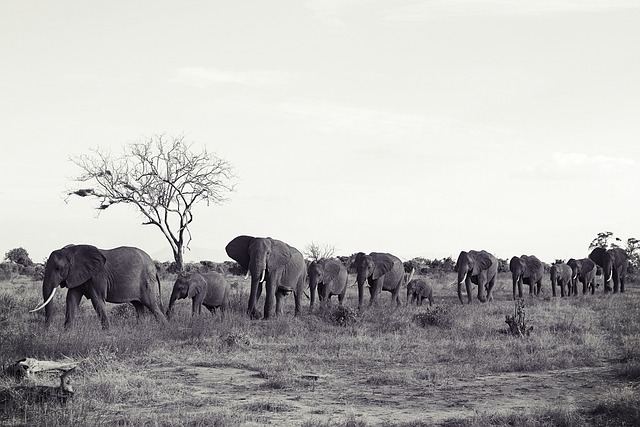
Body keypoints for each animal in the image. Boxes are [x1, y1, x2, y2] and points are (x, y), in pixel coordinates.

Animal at [30, 244, 166, 332]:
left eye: (58, 268)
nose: (47, 330)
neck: (72, 251)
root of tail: (154, 267)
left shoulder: (97, 276)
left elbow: (97, 300)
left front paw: (107, 333)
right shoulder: (76, 275)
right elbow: (71, 299)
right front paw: (67, 332)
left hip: (146, 281)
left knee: (151, 304)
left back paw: (164, 328)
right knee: (138, 305)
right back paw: (140, 329)